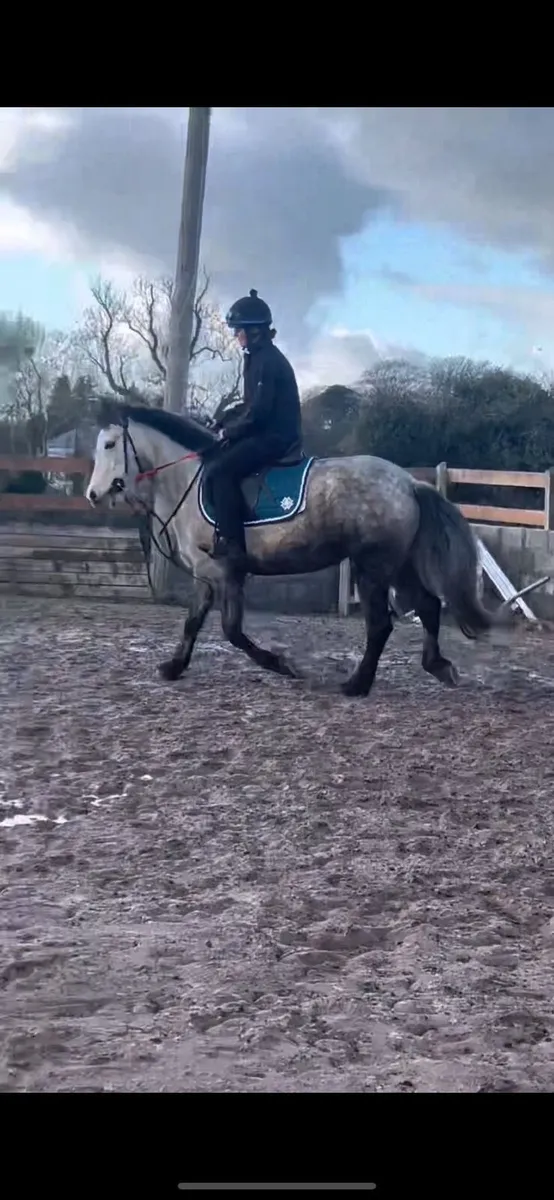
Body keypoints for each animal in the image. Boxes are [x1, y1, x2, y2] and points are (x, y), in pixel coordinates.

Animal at [86, 398, 495, 697]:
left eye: (109, 445)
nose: (92, 495)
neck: (190, 479)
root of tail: (409, 483)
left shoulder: (225, 573)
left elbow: (232, 631)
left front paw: (282, 665)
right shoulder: (206, 575)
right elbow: (192, 622)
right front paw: (174, 667)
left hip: (374, 568)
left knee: (381, 624)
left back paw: (357, 684)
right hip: (400, 566)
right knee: (428, 606)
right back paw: (437, 666)